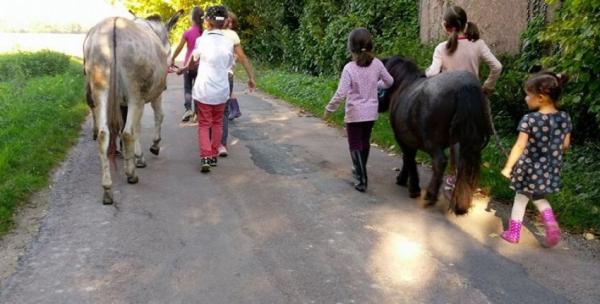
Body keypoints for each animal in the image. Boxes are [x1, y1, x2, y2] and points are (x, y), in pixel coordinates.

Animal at [382, 56, 490, 214]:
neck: (403, 86)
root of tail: (465, 86)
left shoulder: (402, 139)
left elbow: (408, 159)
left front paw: (411, 186)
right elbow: (409, 158)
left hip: (432, 142)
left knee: (440, 161)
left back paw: (431, 195)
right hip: (464, 141)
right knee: (464, 165)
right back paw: (461, 202)